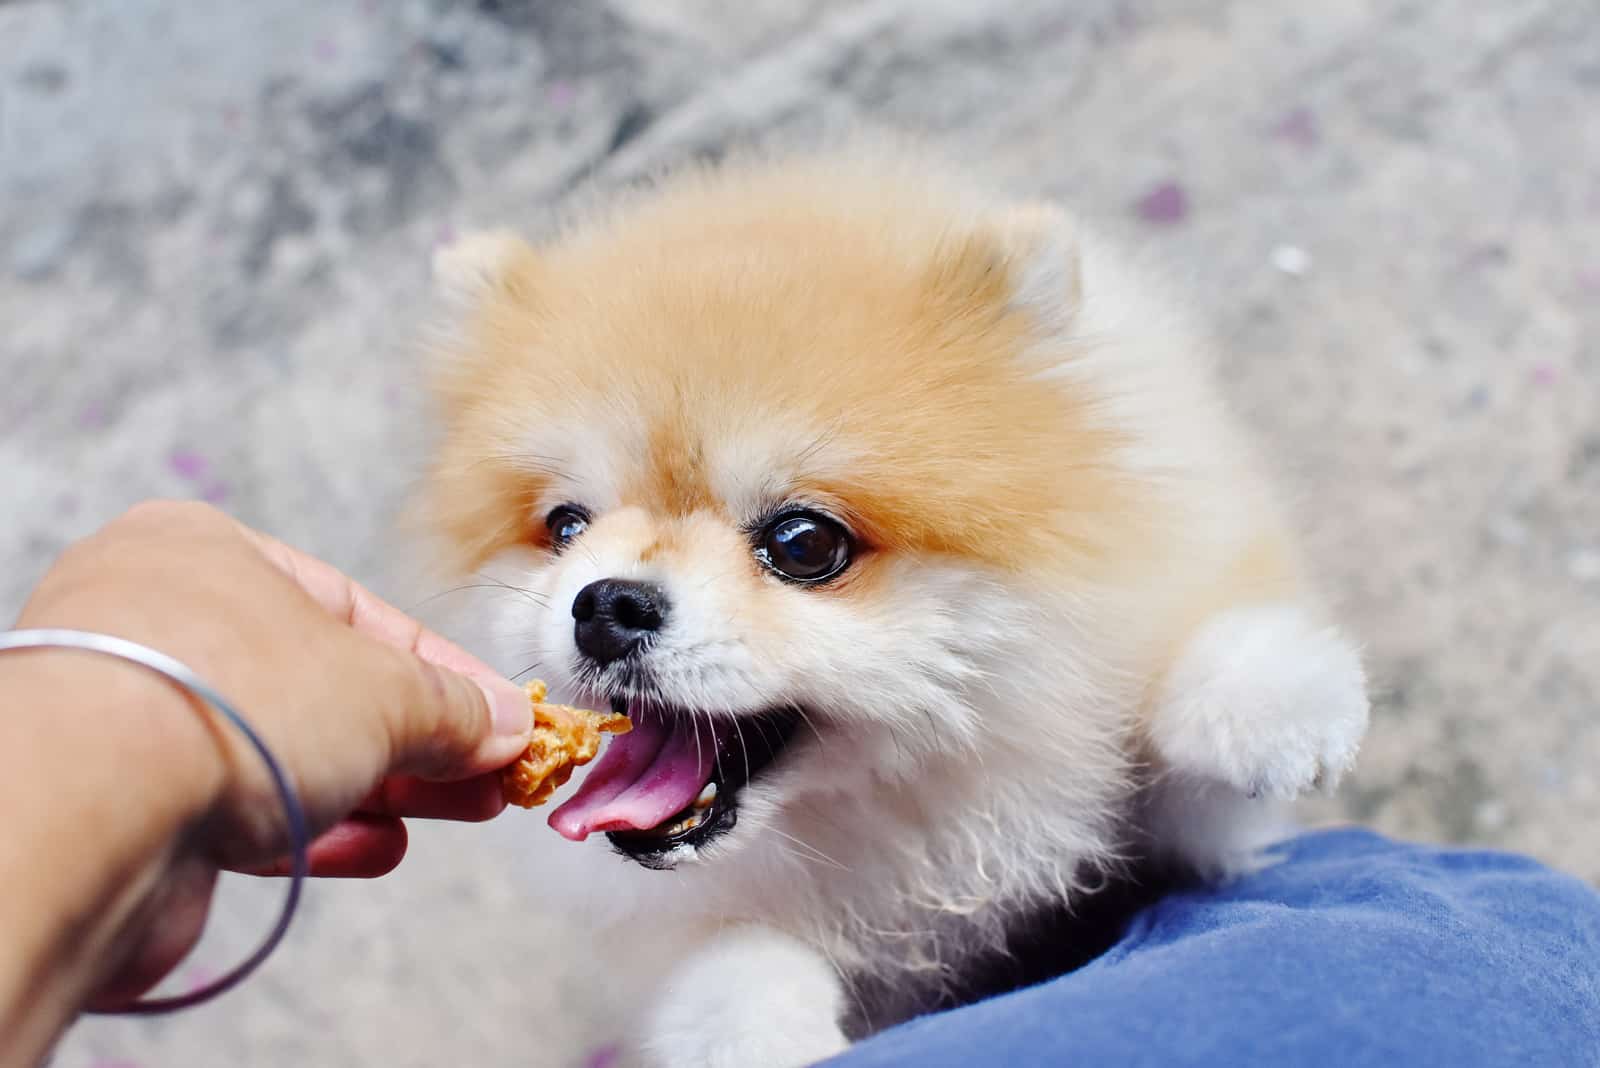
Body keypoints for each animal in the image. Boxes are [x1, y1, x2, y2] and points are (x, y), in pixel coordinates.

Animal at [412, 143, 1363, 1068]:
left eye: (804, 544)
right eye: (566, 527)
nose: (606, 604)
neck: (900, 814)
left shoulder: (1181, 812)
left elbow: (1197, 677)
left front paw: (1270, 704)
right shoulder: (671, 921)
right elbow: (721, 963)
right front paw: (753, 1031)